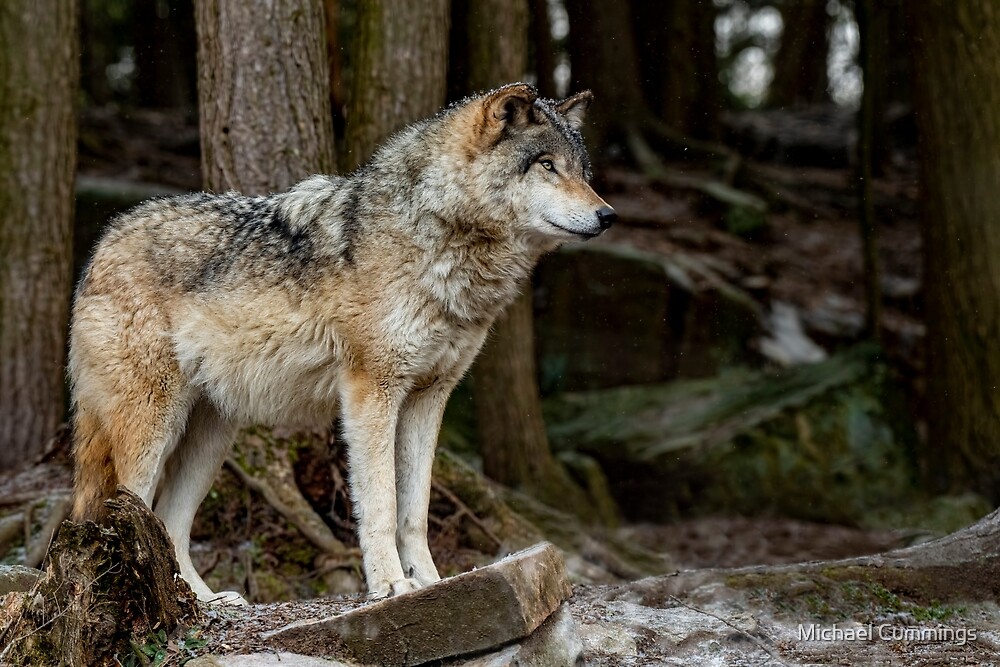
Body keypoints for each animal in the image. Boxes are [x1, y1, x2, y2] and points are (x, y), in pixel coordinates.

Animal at [70, 83, 612, 604]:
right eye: (547, 165)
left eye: (582, 171)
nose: (608, 215)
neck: (435, 238)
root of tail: (104, 241)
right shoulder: (371, 392)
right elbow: (382, 505)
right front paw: (390, 585)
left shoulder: (429, 397)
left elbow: (415, 511)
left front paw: (431, 581)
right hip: (153, 425)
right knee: (132, 511)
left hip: (211, 440)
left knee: (168, 522)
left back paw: (204, 605)